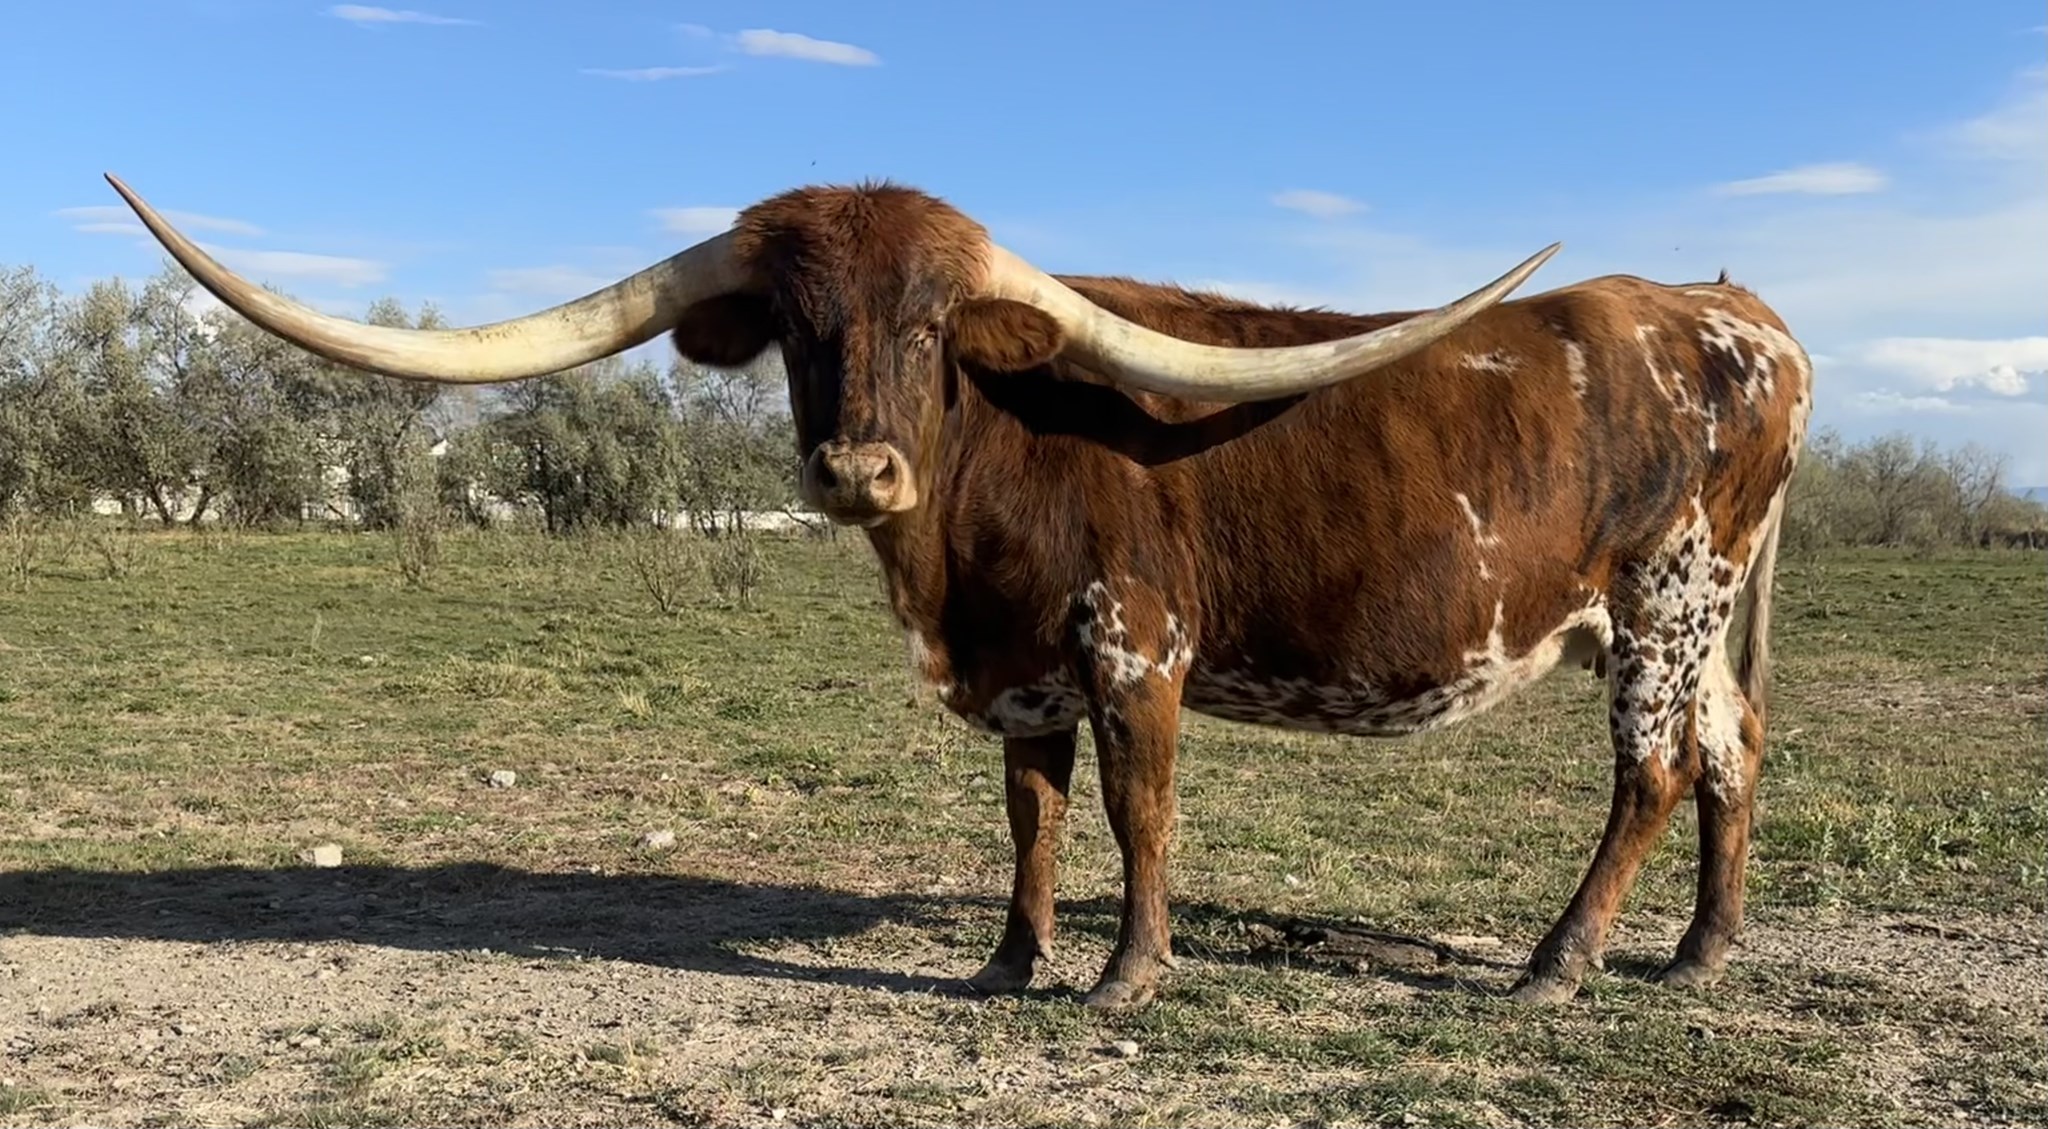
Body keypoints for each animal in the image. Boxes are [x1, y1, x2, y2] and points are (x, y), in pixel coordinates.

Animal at [107, 171, 1813, 1011]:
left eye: (934, 326)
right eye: (799, 325)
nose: (860, 469)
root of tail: (1730, 312)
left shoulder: (1135, 646)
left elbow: (1137, 812)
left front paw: (1124, 975)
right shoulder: (1023, 664)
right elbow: (1032, 816)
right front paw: (1008, 959)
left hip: (1660, 602)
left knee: (1656, 769)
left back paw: (1558, 962)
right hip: (1701, 614)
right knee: (1735, 751)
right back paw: (1702, 952)